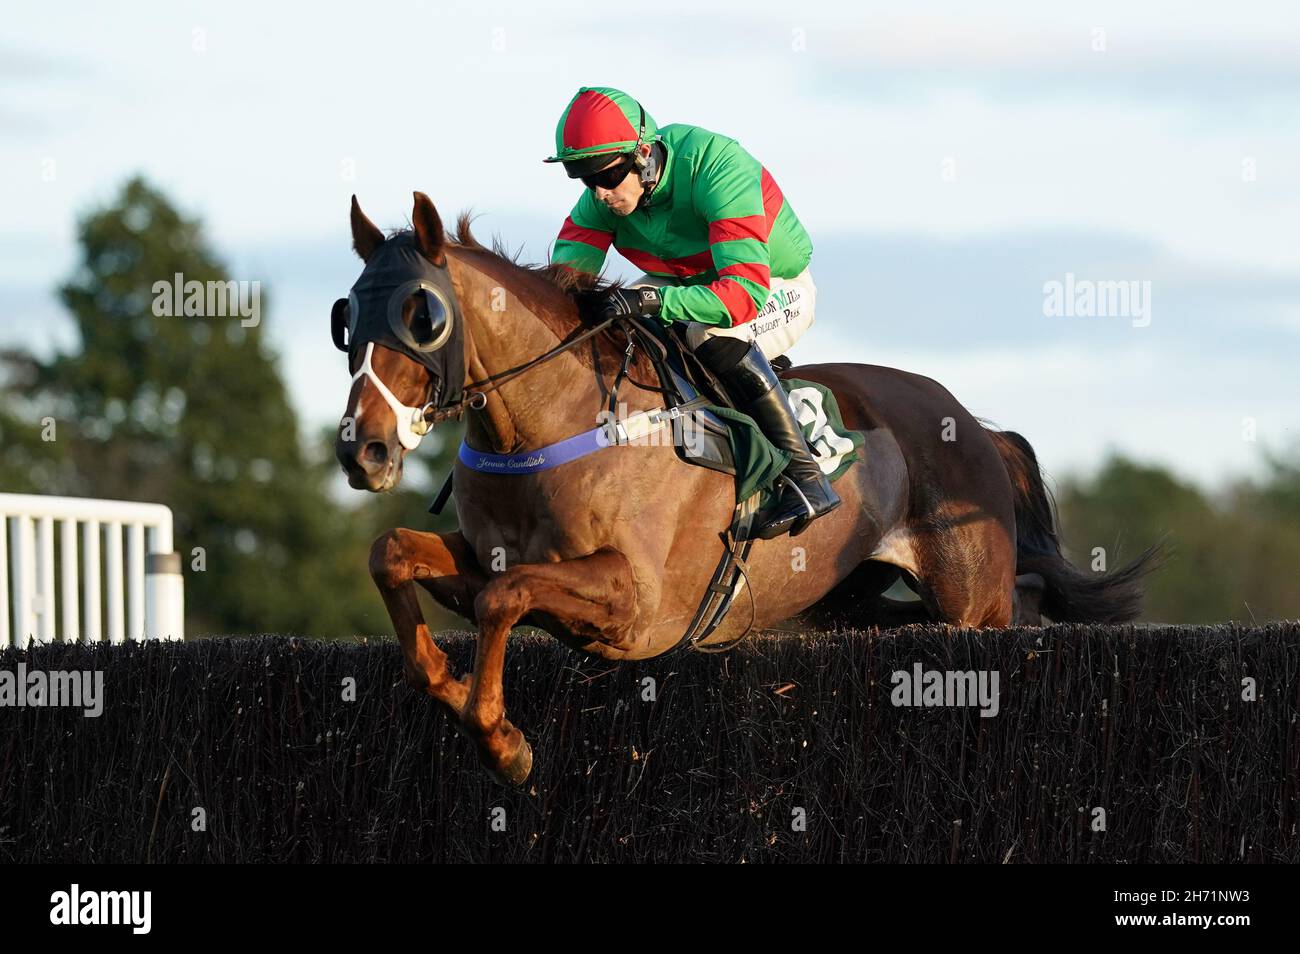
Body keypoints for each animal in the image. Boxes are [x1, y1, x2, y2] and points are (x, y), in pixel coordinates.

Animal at [332, 192, 1159, 785]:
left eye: (423, 316)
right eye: (347, 317)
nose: (362, 449)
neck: (552, 420)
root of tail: (974, 425)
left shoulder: (637, 605)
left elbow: (503, 600)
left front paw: (505, 744)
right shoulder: (489, 557)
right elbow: (392, 553)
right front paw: (450, 688)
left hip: (971, 601)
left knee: (1008, 611)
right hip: (849, 599)